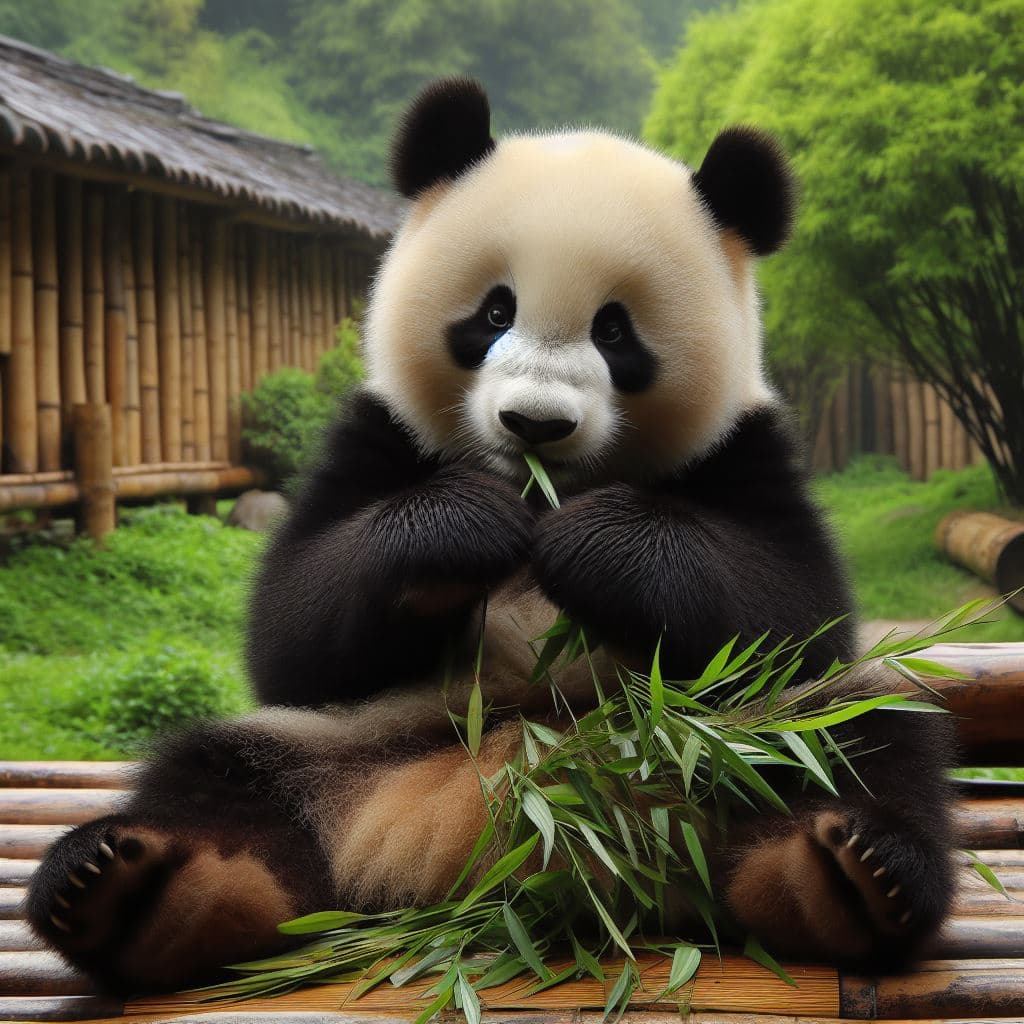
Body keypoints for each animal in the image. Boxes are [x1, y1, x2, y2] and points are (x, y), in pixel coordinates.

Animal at [26, 78, 956, 993]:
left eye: (614, 330)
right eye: (494, 310)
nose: (534, 423)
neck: (546, 486)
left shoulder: (742, 447)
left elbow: (795, 614)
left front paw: (595, 545)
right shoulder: (381, 431)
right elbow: (294, 630)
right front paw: (466, 530)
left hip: (730, 739)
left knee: (855, 736)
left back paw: (841, 877)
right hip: (335, 741)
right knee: (214, 772)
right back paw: (138, 890)